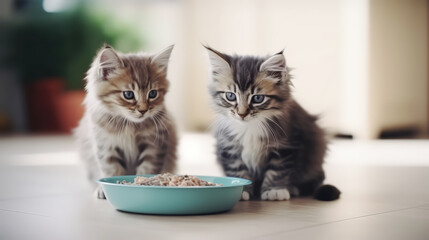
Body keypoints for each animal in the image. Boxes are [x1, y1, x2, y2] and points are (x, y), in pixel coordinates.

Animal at [76, 44, 176, 198]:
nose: (143, 110)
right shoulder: (106, 145)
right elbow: (112, 169)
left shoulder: (155, 145)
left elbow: (147, 169)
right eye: (128, 94)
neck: (128, 125)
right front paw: (106, 189)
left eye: (153, 94)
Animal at [206, 46, 340, 201]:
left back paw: (293, 188)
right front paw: (242, 189)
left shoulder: (286, 145)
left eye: (258, 98)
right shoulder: (229, 146)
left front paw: (275, 190)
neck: (250, 127)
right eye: (231, 96)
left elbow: (278, 170)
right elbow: (237, 169)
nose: (242, 114)